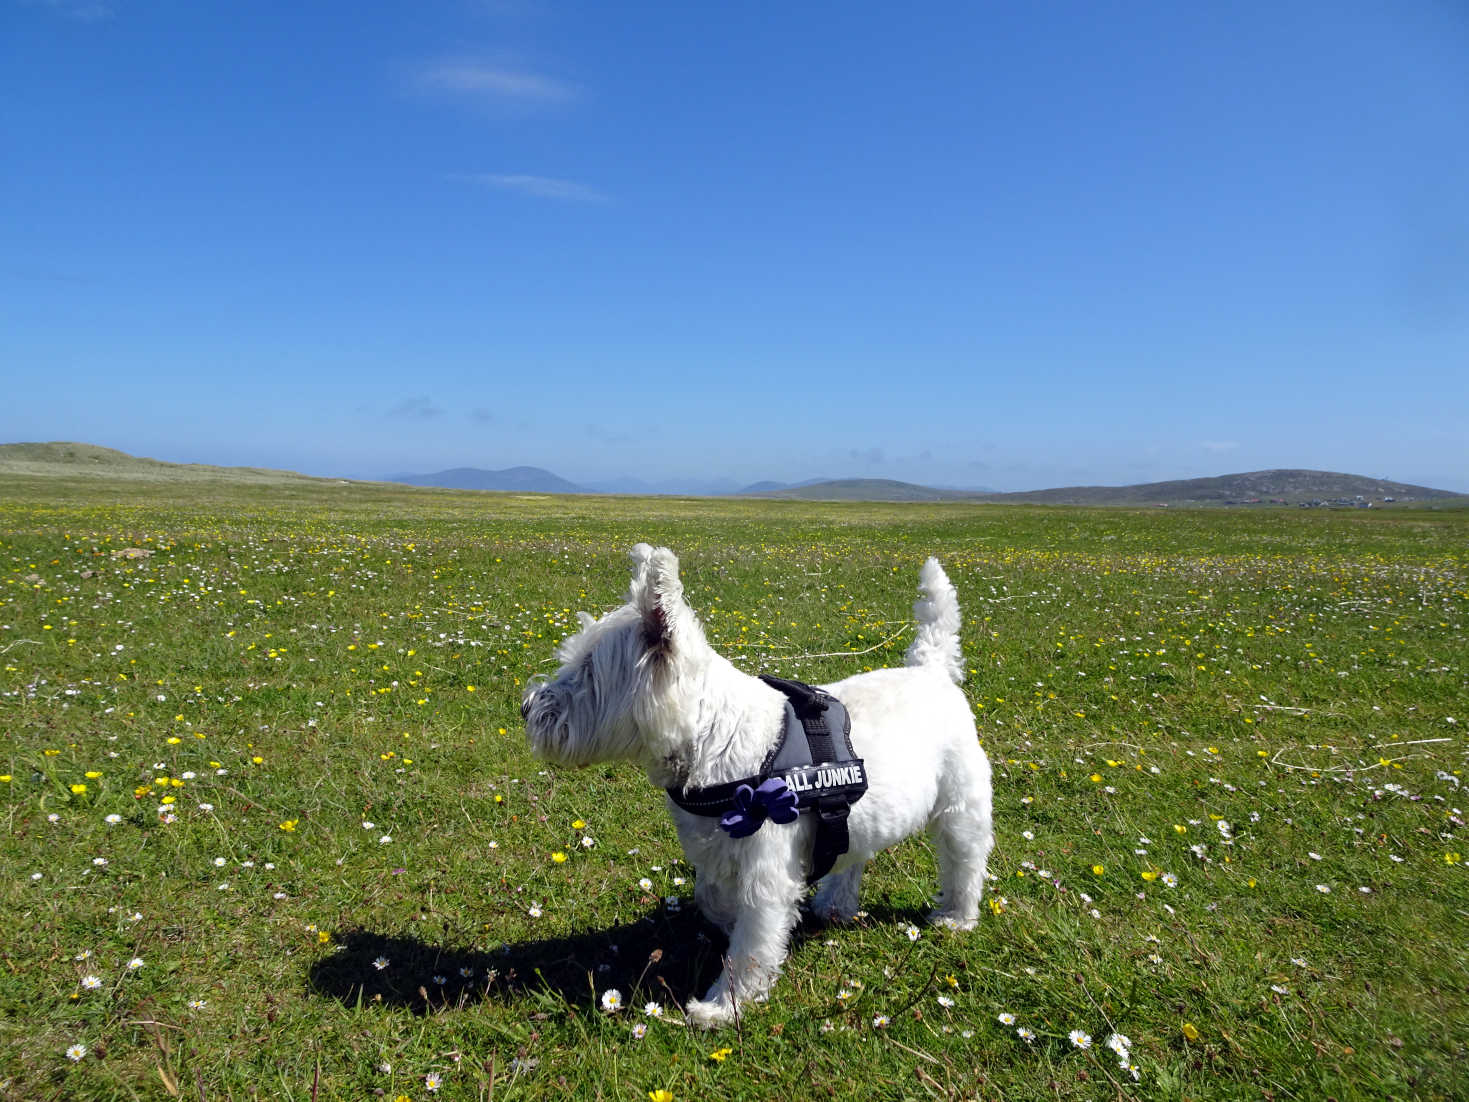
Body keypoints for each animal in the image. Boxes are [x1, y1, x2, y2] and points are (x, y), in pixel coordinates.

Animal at [522, 549, 993, 1034]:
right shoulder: (714, 850)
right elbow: (713, 899)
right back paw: (836, 904)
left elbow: (753, 940)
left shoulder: (766, 868)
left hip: (961, 808)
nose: (526, 709)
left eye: (588, 670)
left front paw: (723, 1004)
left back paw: (957, 917)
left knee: (965, 862)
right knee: (852, 856)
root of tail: (932, 670)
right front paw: (730, 930)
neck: (713, 740)